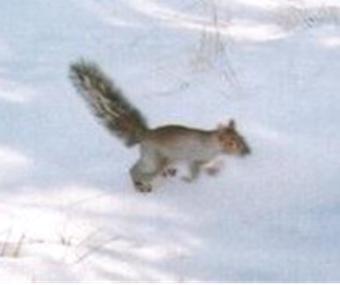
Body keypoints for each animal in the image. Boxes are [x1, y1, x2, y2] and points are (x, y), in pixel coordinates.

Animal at [69, 59, 250, 191]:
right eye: (231, 143)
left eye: (241, 138)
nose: (247, 152)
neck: (212, 143)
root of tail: (145, 134)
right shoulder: (195, 157)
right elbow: (195, 171)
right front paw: (189, 180)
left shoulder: (205, 159)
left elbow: (210, 166)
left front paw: (217, 169)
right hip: (155, 159)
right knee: (136, 171)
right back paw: (141, 185)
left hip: (154, 158)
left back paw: (166, 173)